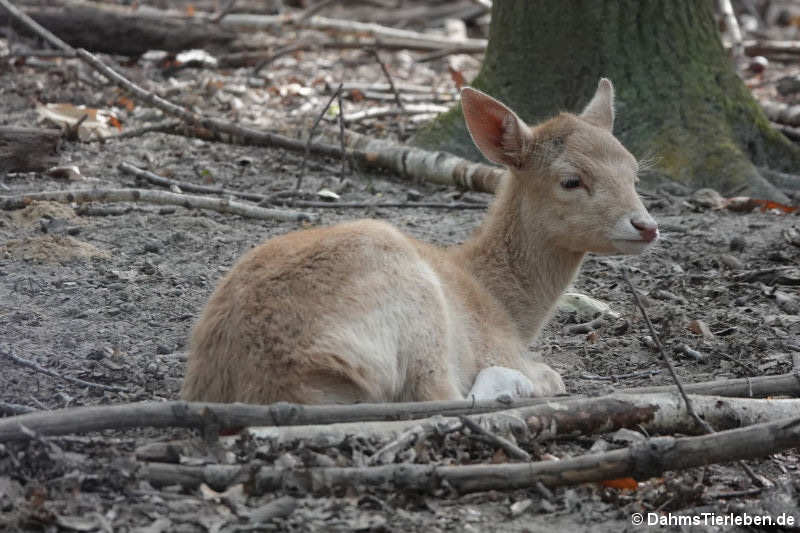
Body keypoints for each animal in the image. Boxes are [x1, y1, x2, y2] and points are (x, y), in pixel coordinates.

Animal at [184, 78, 660, 404]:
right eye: (571, 180)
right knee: (441, 396)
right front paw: (538, 377)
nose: (646, 225)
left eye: (634, 172)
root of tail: (282, 377)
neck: (507, 309)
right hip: (416, 311)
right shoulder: (494, 344)